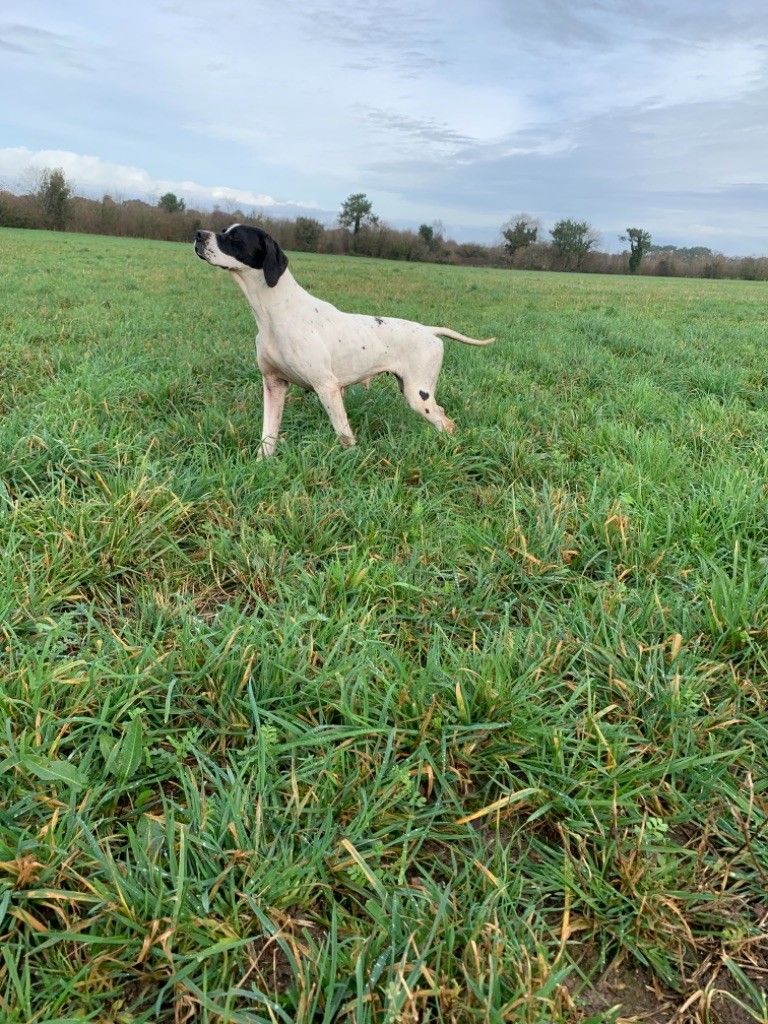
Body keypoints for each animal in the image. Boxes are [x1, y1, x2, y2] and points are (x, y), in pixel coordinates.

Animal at [195, 228, 495, 460]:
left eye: (234, 238)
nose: (198, 234)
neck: (275, 311)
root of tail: (429, 331)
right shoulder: (273, 385)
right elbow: (268, 436)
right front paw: (261, 464)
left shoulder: (327, 387)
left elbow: (344, 435)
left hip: (418, 395)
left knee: (446, 421)